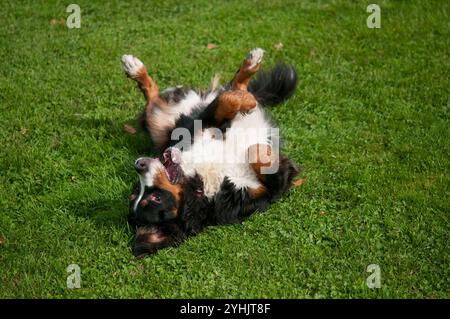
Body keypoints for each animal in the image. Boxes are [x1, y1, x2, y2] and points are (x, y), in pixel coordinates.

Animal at [121, 48, 300, 258]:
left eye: (136, 193)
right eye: (151, 197)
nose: (139, 165)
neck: (202, 179)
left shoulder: (200, 127)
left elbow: (227, 102)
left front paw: (246, 101)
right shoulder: (265, 193)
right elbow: (255, 151)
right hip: (158, 125)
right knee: (153, 105)